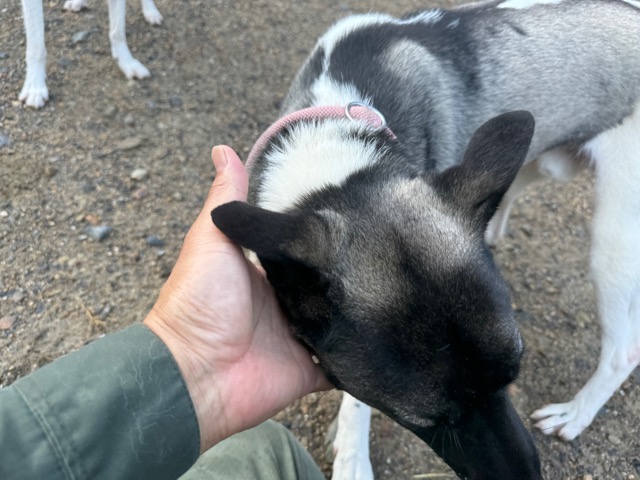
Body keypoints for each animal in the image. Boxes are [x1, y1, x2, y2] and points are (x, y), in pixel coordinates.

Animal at [211, 0, 640, 478]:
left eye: (514, 374)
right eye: (432, 422)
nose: (532, 475)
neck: (334, 160)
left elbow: (356, 404)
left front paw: (353, 453)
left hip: (614, 244)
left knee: (623, 352)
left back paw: (576, 413)